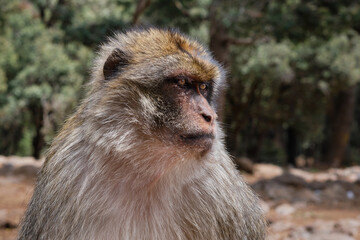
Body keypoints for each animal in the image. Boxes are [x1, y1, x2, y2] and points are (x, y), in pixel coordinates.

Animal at [18, 28, 266, 240]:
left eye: (203, 88)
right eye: (182, 83)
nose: (210, 115)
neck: (146, 169)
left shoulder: (220, 188)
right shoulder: (67, 175)